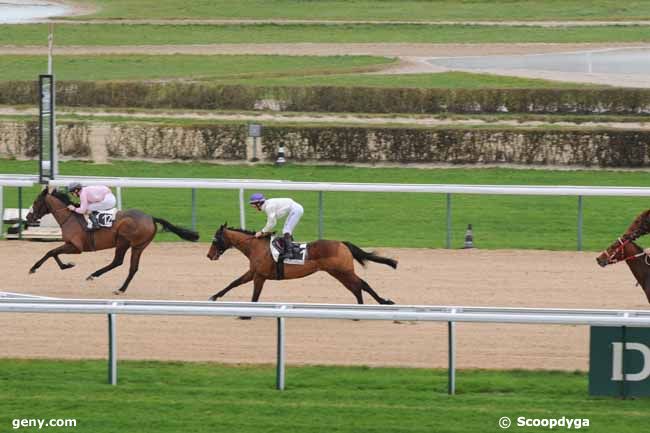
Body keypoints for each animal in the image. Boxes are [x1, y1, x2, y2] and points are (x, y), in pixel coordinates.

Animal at [26, 188, 197, 294]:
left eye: (35, 202)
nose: (28, 217)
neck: (70, 217)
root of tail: (151, 218)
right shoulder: (71, 246)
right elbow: (53, 253)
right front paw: (66, 265)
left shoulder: (76, 246)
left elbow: (50, 252)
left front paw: (34, 268)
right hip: (138, 246)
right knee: (132, 268)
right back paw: (120, 289)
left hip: (123, 241)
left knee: (118, 261)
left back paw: (95, 276)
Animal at [205, 223, 398, 304]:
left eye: (215, 239)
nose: (209, 255)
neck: (256, 246)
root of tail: (342, 243)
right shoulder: (253, 272)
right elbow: (234, 282)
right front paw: (214, 296)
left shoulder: (260, 276)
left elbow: (255, 295)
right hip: (339, 273)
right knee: (357, 286)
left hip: (343, 271)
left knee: (361, 284)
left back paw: (380, 302)